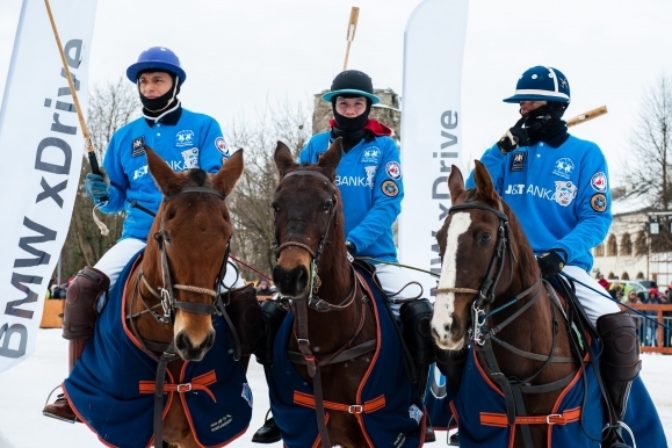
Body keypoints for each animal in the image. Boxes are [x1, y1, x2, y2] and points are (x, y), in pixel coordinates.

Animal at [63, 148, 252, 448]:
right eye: (168, 236)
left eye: (228, 236)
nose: (194, 340)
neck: (166, 348)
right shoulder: (126, 426)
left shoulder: (195, 434)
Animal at [268, 140, 426, 448]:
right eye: (276, 205)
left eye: (327, 204)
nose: (290, 276)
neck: (325, 346)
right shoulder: (304, 429)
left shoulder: (382, 428)